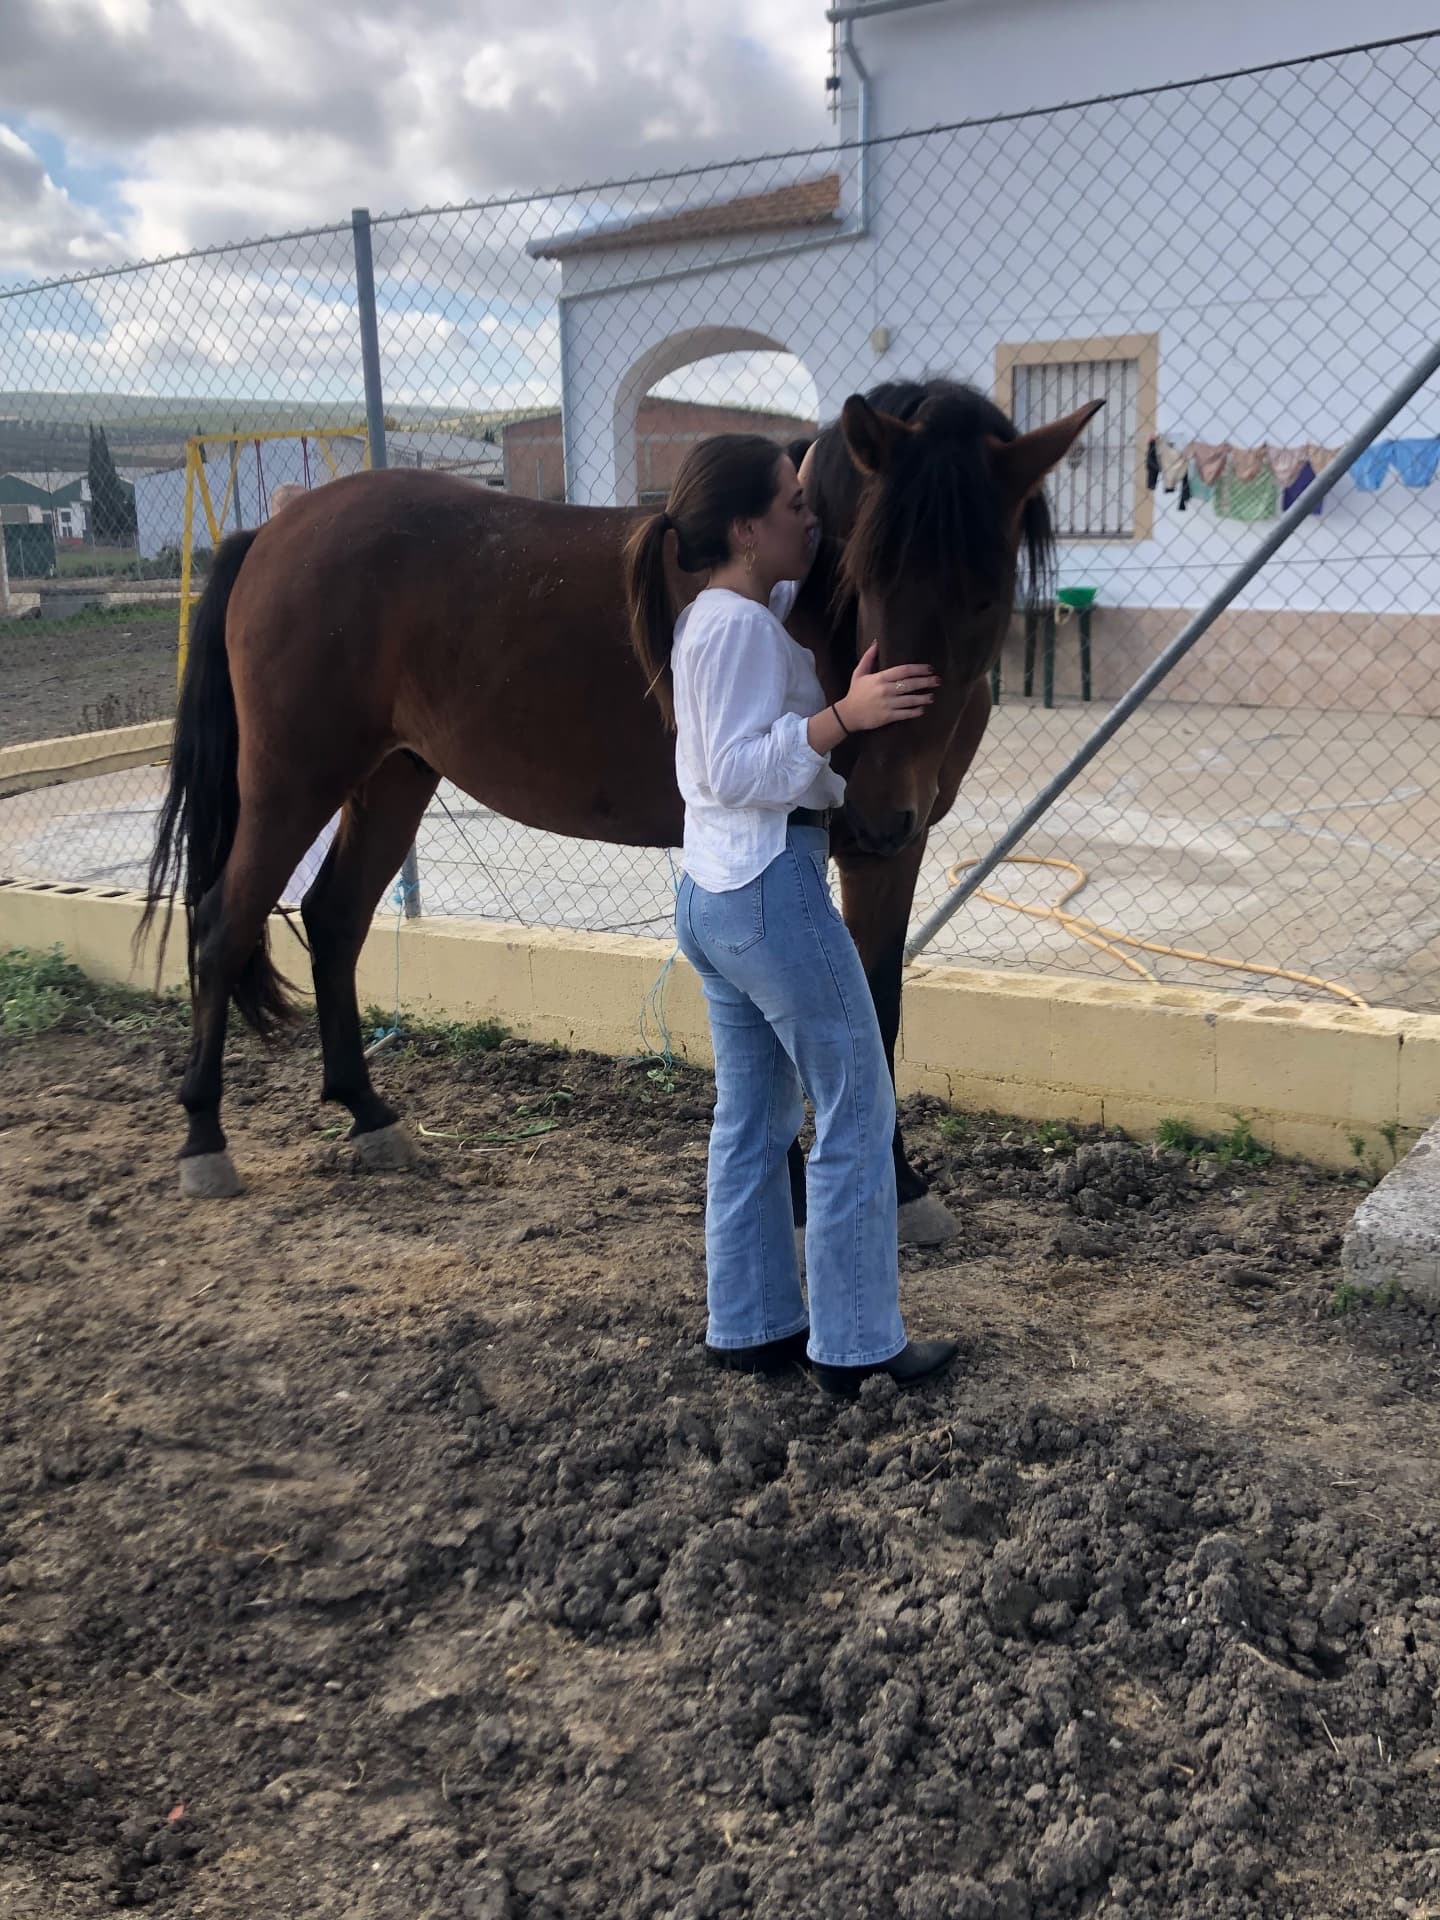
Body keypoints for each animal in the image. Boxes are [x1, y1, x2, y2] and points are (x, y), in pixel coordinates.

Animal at [141, 378, 1101, 1238]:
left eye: (985, 594)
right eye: (870, 574)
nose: (874, 808)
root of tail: (274, 528)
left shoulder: (897, 849)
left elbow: (879, 1002)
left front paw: (876, 1185)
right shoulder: (863, 850)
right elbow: (863, 1009)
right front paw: (886, 1186)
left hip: (393, 776)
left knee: (334, 919)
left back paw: (369, 1117)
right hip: (292, 779)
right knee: (222, 924)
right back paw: (202, 1139)